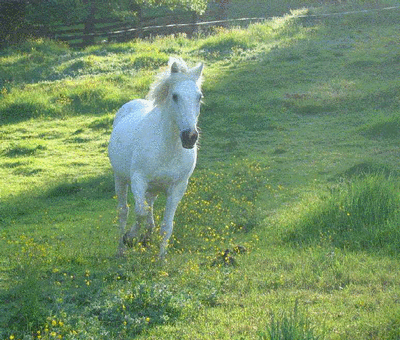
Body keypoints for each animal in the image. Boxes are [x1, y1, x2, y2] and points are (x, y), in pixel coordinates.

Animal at [108, 57, 203, 258]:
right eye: (175, 96)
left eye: (199, 97)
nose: (190, 137)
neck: (168, 150)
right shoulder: (139, 180)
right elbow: (140, 211)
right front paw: (130, 238)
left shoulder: (178, 187)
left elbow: (166, 225)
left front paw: (161, 259)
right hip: (120, 179)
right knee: (124, 211)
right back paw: (121, 249)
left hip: (153, 188)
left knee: (149, 207)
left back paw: (146, 237)